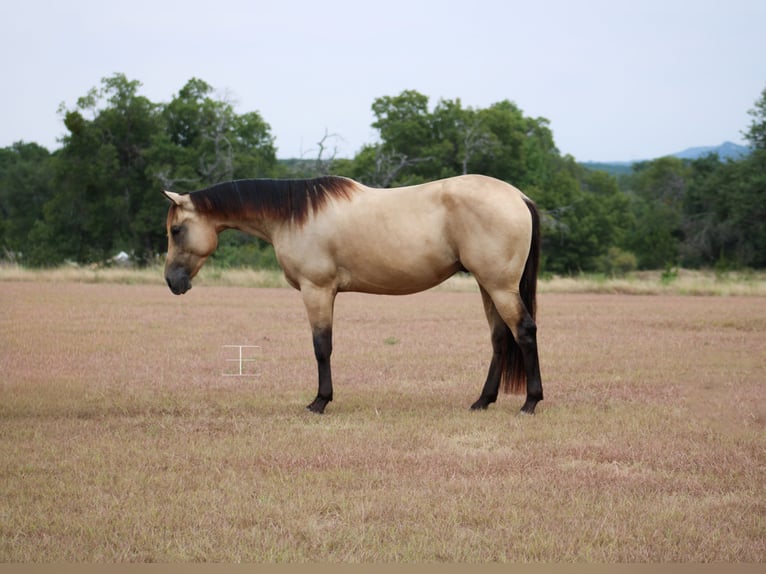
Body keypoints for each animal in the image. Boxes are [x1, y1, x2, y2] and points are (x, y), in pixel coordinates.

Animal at [162, 174, 543, 415]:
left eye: (176, 230)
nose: (171, 281)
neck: (294, 216)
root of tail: (518, 196)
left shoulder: (316, 289)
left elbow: (321, 347)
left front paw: (319, 402)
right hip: (487, 285)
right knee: (500, 338)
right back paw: (483, 401)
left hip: (499, 286)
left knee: (524, 331)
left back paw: (530, 402)